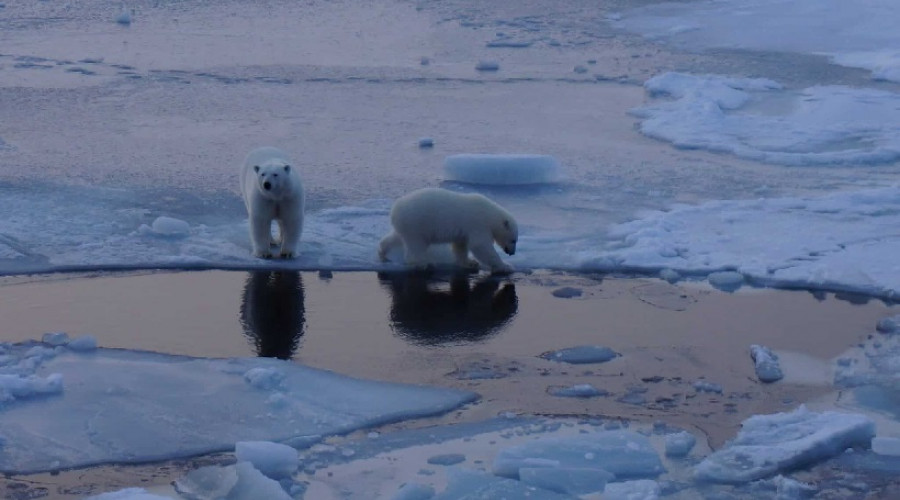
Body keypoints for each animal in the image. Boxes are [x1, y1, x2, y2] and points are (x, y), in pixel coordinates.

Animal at [380, 188, 520, 274]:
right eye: (513, 240)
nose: (512, 253)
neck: (490, 214)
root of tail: (395, 210)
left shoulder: (465, 231)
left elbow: (461, 245)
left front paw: (470, 263)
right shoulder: (477, 224)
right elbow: (481, 246)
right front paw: (506, 266)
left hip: (406, 225)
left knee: (396, 237)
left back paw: (382, 251)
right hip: (417, 224)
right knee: (416, 245)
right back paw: (425, 263)